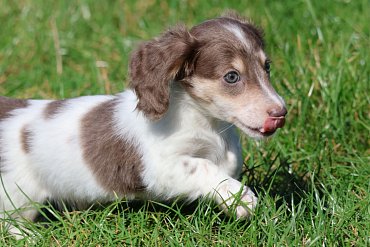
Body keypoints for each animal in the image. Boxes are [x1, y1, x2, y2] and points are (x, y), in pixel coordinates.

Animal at [0, 12, 286, 236]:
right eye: (232, 76)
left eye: (267, 67)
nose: (280, 113)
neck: (206, 122)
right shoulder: (159, 167)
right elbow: (203, 167)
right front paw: (241, 197)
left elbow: (226, 164)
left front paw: (231, 201)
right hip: (17, 197)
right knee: (10, 224)